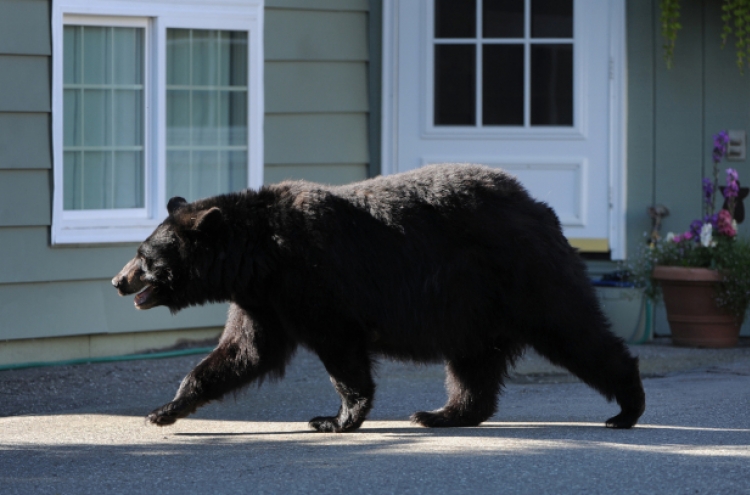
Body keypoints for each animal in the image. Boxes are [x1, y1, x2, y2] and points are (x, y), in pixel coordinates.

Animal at [111, 165, 648, 432]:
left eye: (144, 255)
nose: (118, 281)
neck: (260, 255)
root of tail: (543, 210)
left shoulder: (312, 281)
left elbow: (340, 350)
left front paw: (334, 418)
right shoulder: (263, 299)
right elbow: (242, 353)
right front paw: (164, 409)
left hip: (525, 276)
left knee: (575, 331)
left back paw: (626, 409)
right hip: (473, 305)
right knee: (473, 364)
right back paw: (441, 414)